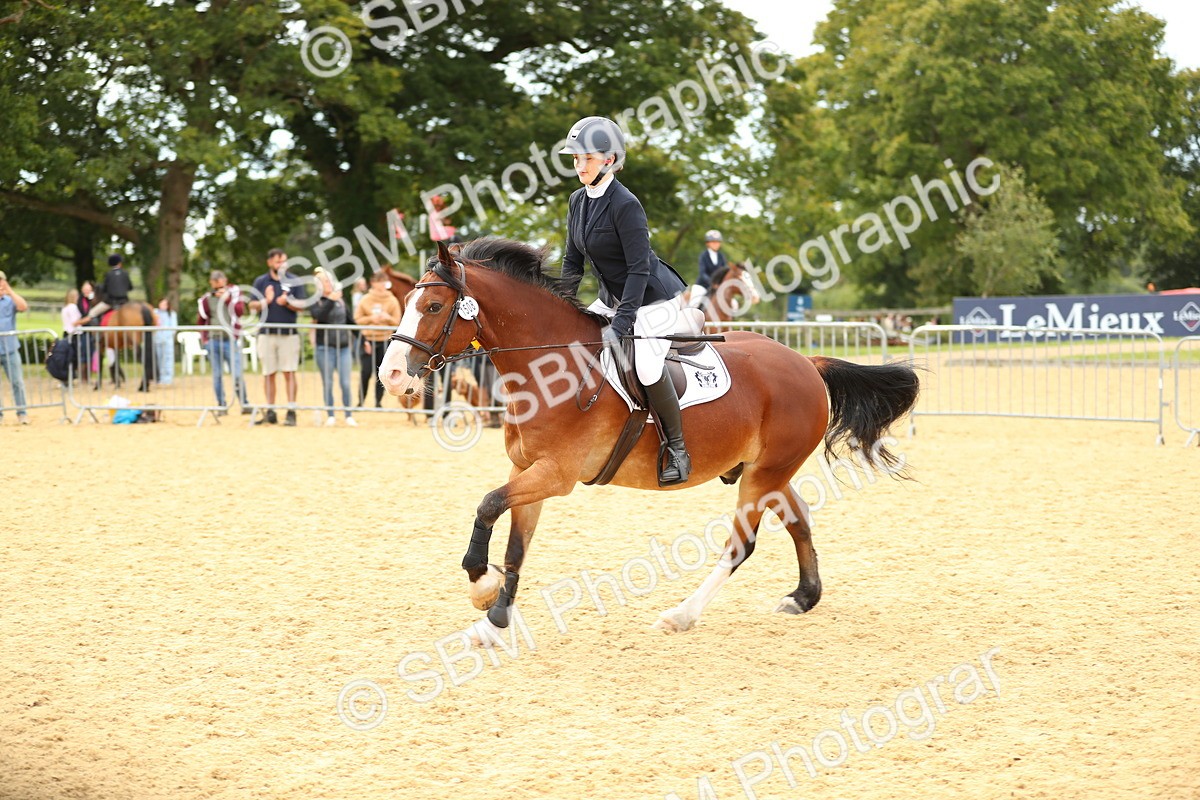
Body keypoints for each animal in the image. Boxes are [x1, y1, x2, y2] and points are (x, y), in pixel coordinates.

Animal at [379, 239, 919, 642]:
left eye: (433, 306)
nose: (390, 376)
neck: (547, 367)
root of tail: (807, 362)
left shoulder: (556, 475)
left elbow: (488, 505)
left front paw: (481, 586)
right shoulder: (527, 470)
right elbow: (515, 545)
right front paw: (494, 621)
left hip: (763, 475)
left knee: (739, 545)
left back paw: (682, 615)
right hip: (767, 470)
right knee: (799, 520)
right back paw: (803, 597)